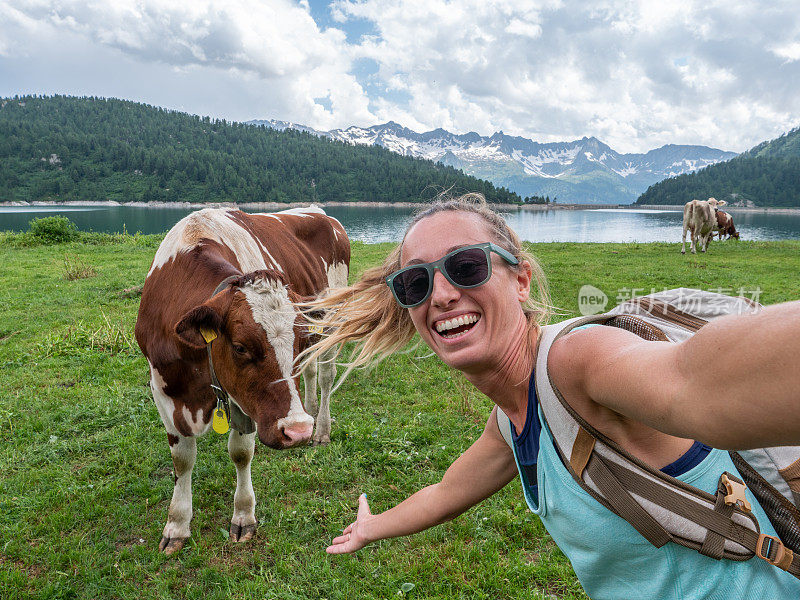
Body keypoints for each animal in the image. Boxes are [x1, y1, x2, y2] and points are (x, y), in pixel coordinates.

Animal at [134, 205, 350, 552]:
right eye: (240, 347)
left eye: (295, 342)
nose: (297, 431)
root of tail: (318, 211)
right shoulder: (161, 387)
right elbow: (182, 459)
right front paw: (177, 525)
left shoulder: (246, 402)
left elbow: (240, 452)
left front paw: (244, 515)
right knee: (311, 371)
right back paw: (312, 413)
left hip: (332, 322)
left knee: (327, 375)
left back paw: (321, 429)